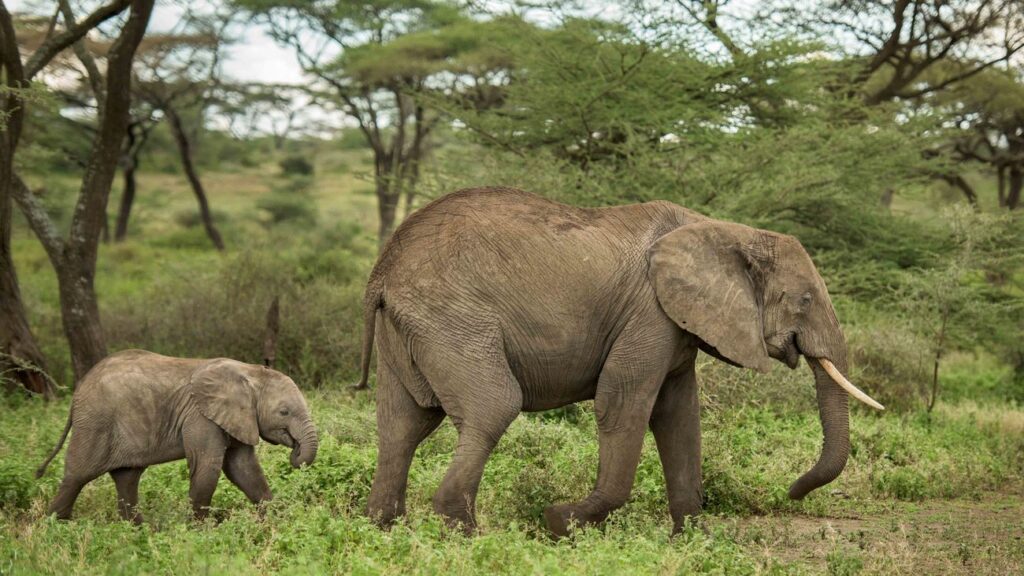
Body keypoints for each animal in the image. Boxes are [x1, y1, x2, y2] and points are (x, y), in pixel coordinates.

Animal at [35, 349, 318, 523]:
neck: (249, 372)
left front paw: (278, 521)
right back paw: (53, 528)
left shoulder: (235, 418)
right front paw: (202, 533)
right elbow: (207, 467)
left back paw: (138, 533)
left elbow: (244, 468)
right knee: (77, 476)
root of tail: (77, 391)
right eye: (284, 412)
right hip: (95, 423)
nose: (295, 452)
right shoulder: (201, 417)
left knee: (127, 478)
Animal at [354, 187, 883, 536]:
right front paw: (559, 523)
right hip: (451, 319)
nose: (791, 492)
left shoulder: (677, 325)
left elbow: (678, 417)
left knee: (402, 423)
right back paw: (461, 532)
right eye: (806, 299)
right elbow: (623, 403)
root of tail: (383, 270)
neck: (724, 229)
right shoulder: (649, 313)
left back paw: (383, 527)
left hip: (410, 329)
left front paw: (695, 539)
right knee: (492, 406)